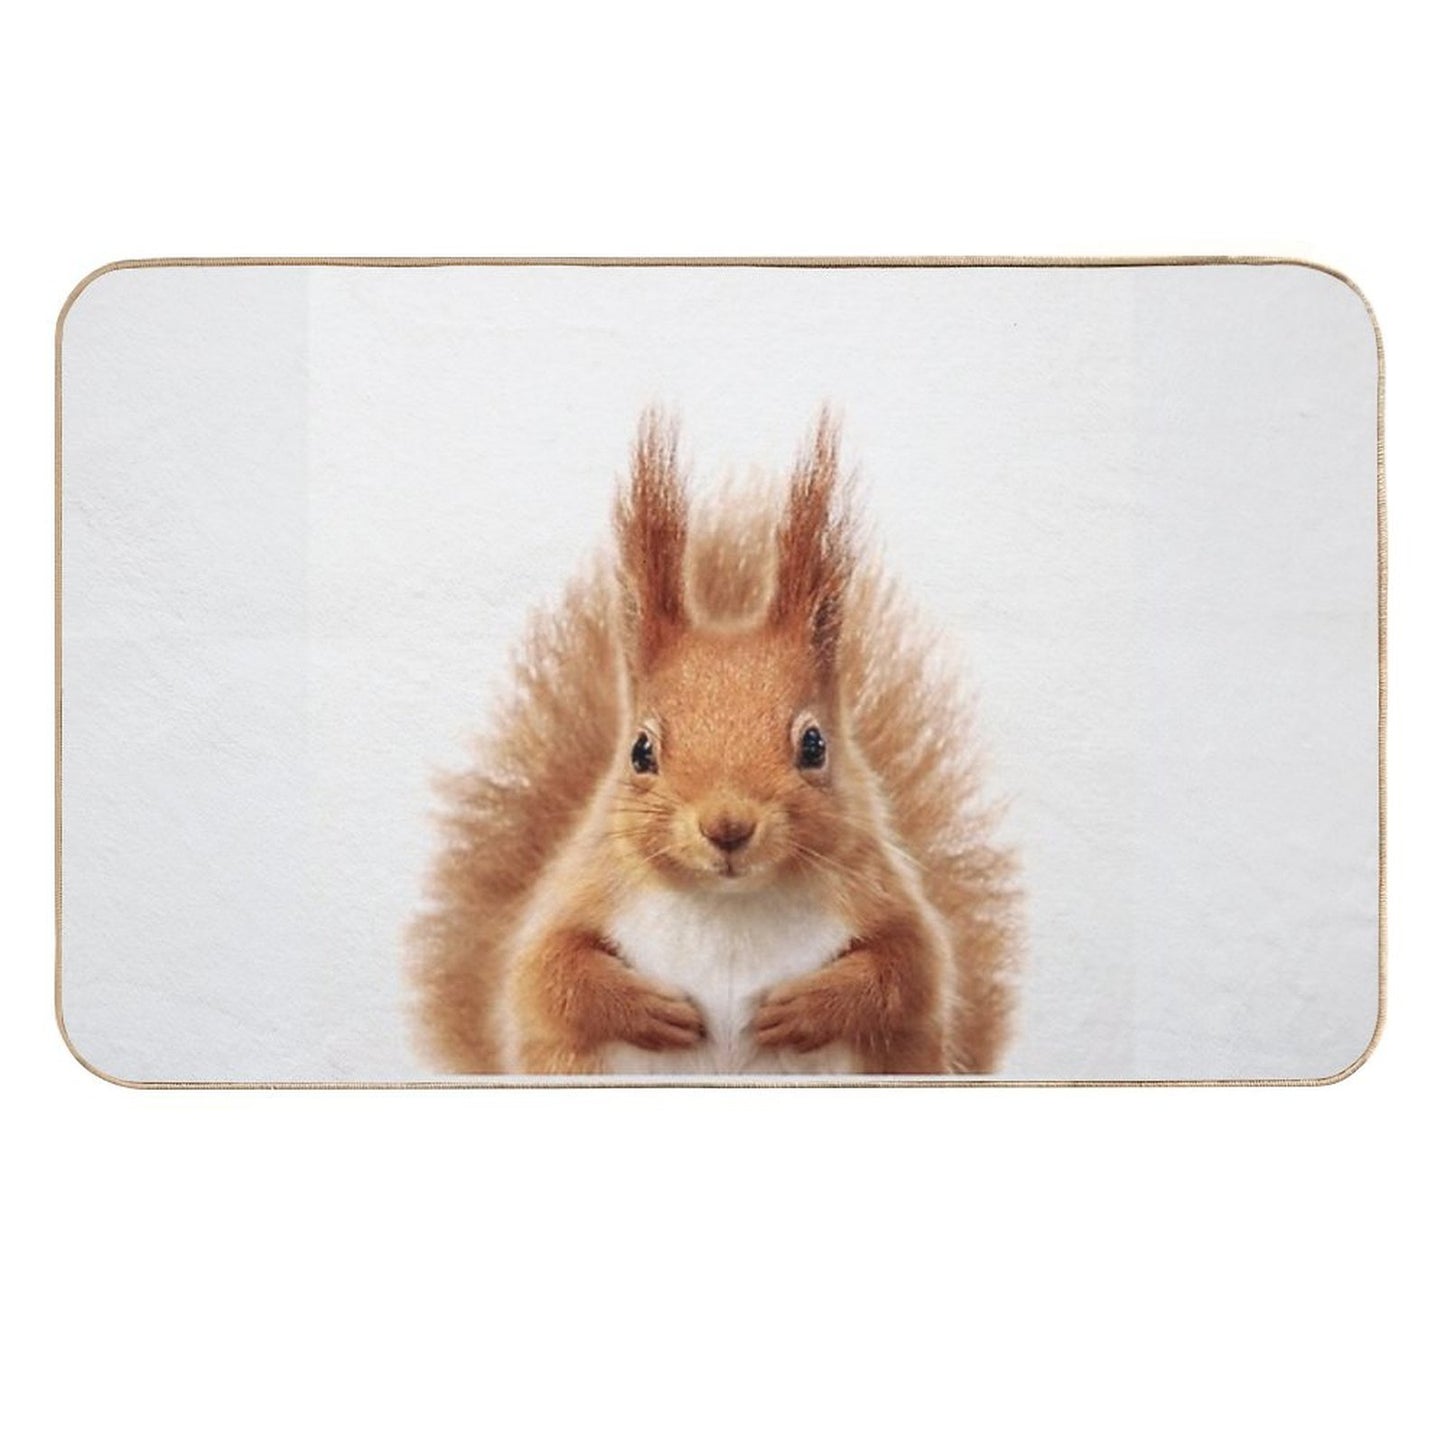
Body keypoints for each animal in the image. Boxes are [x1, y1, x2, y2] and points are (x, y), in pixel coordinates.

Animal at [411, 411, 1020, 1076]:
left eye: (814, 745)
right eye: (641, 751)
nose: (727, 826)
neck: (729, 906)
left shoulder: (887, 903)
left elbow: (907, 972)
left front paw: (804, 1007)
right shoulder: (581, 895)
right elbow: (548, 975)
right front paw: (648, 1009)